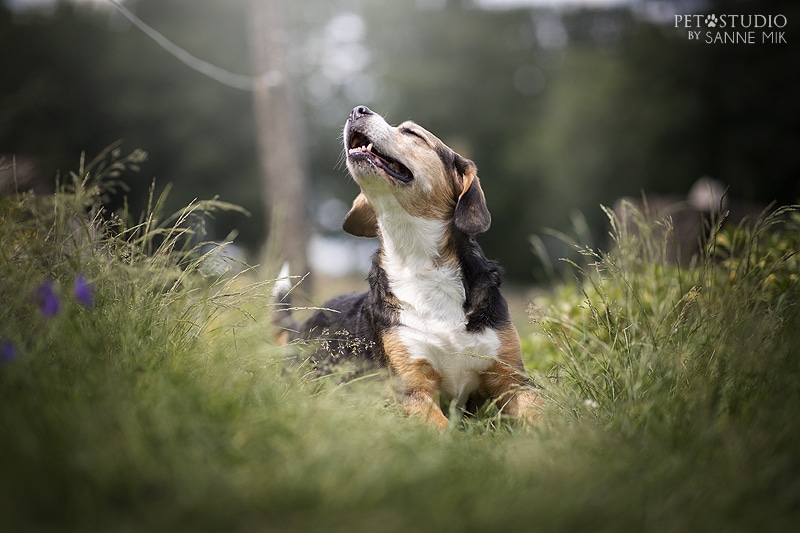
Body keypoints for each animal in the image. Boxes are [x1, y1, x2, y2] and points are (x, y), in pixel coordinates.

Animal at [272, 106, 540, 430]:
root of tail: (300, 329)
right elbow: (443, 431)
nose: (357, 110)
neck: (420, 261)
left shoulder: (512, 380)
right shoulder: (413, 389)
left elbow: (544, 415)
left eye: (412, 133)